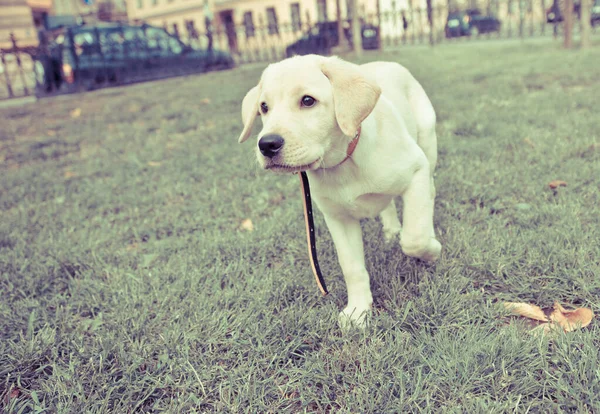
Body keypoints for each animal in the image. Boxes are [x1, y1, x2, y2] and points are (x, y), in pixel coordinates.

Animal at [239, 54, 440, 326]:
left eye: (308, 101)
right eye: (263, 107)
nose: (267, 144)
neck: (344, 161)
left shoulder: (416, 169)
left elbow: (414, 238)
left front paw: (431, 251)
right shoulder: (337, 217)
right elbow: (351, 267)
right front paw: (358, 311)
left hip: (427, 145)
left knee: (428, 195)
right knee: (387, 205)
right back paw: (390, 230)